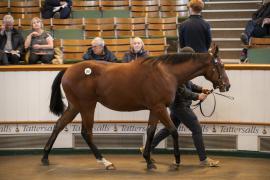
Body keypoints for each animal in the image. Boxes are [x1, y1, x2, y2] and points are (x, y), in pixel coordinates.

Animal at [41, 45, 230, 170]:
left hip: (75, 106)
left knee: (59, 125)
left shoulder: (154, 109)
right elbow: (173, 130)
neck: (166, 73)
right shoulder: (159, 108)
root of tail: (68, 69)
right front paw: (176, 161)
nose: (227, 86)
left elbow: (151, 131)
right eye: (220, 65)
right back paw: (105, 162)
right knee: (86, 132)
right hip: (87, 105)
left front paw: (148, 160)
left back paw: (45, 158)